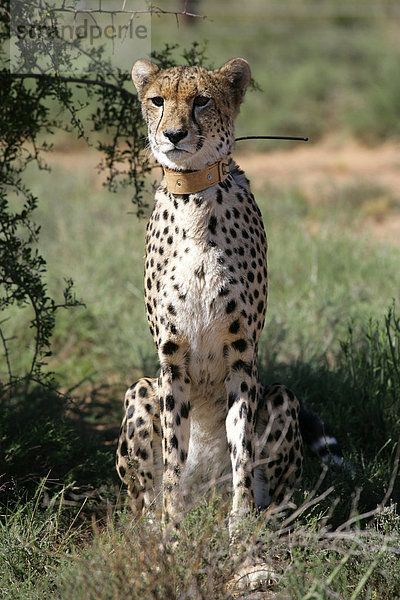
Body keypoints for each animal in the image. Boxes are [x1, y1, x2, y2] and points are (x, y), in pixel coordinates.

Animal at [115, 56, 340, 536]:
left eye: (202, 100)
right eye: (157, 100)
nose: (173, 134)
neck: (194, 198)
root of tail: (207, 499)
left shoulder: (241, 353)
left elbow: (242, 451)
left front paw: (240, 529)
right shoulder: (171, 356)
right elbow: (173, 458)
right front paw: (172, 532)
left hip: (282, 398)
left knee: (275, 495)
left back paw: (256, 523)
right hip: (140, 389)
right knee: (142, 500)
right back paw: (156, 525)